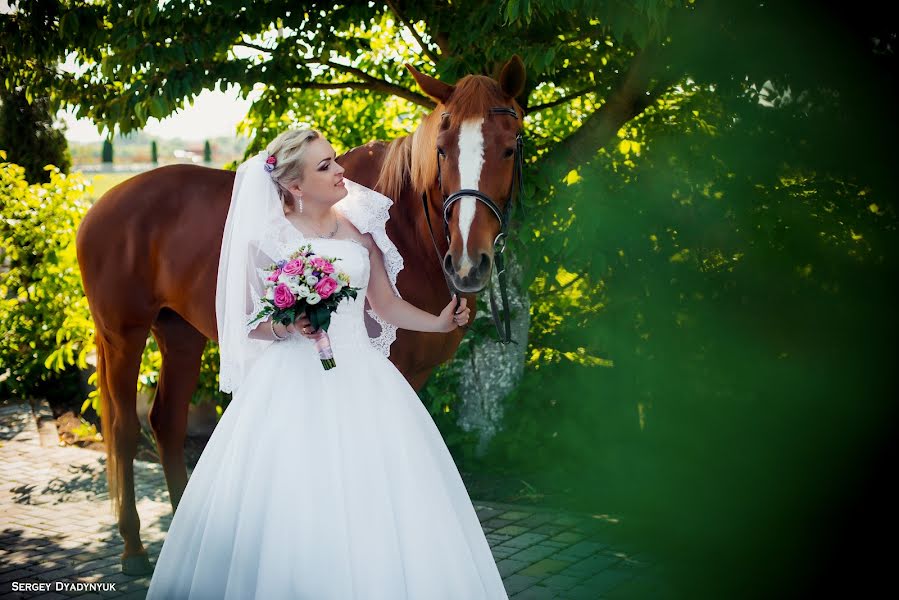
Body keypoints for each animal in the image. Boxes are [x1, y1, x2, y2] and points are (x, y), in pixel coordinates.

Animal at [77, 57, 532, 576]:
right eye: (441, 149)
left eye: (509, 146)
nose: (467, 264)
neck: (407, 226)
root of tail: (103, 203)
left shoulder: (412, 373)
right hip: (123, 335)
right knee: (123, 430)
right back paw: (134, 548)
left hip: (180, 336)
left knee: (167, 422)